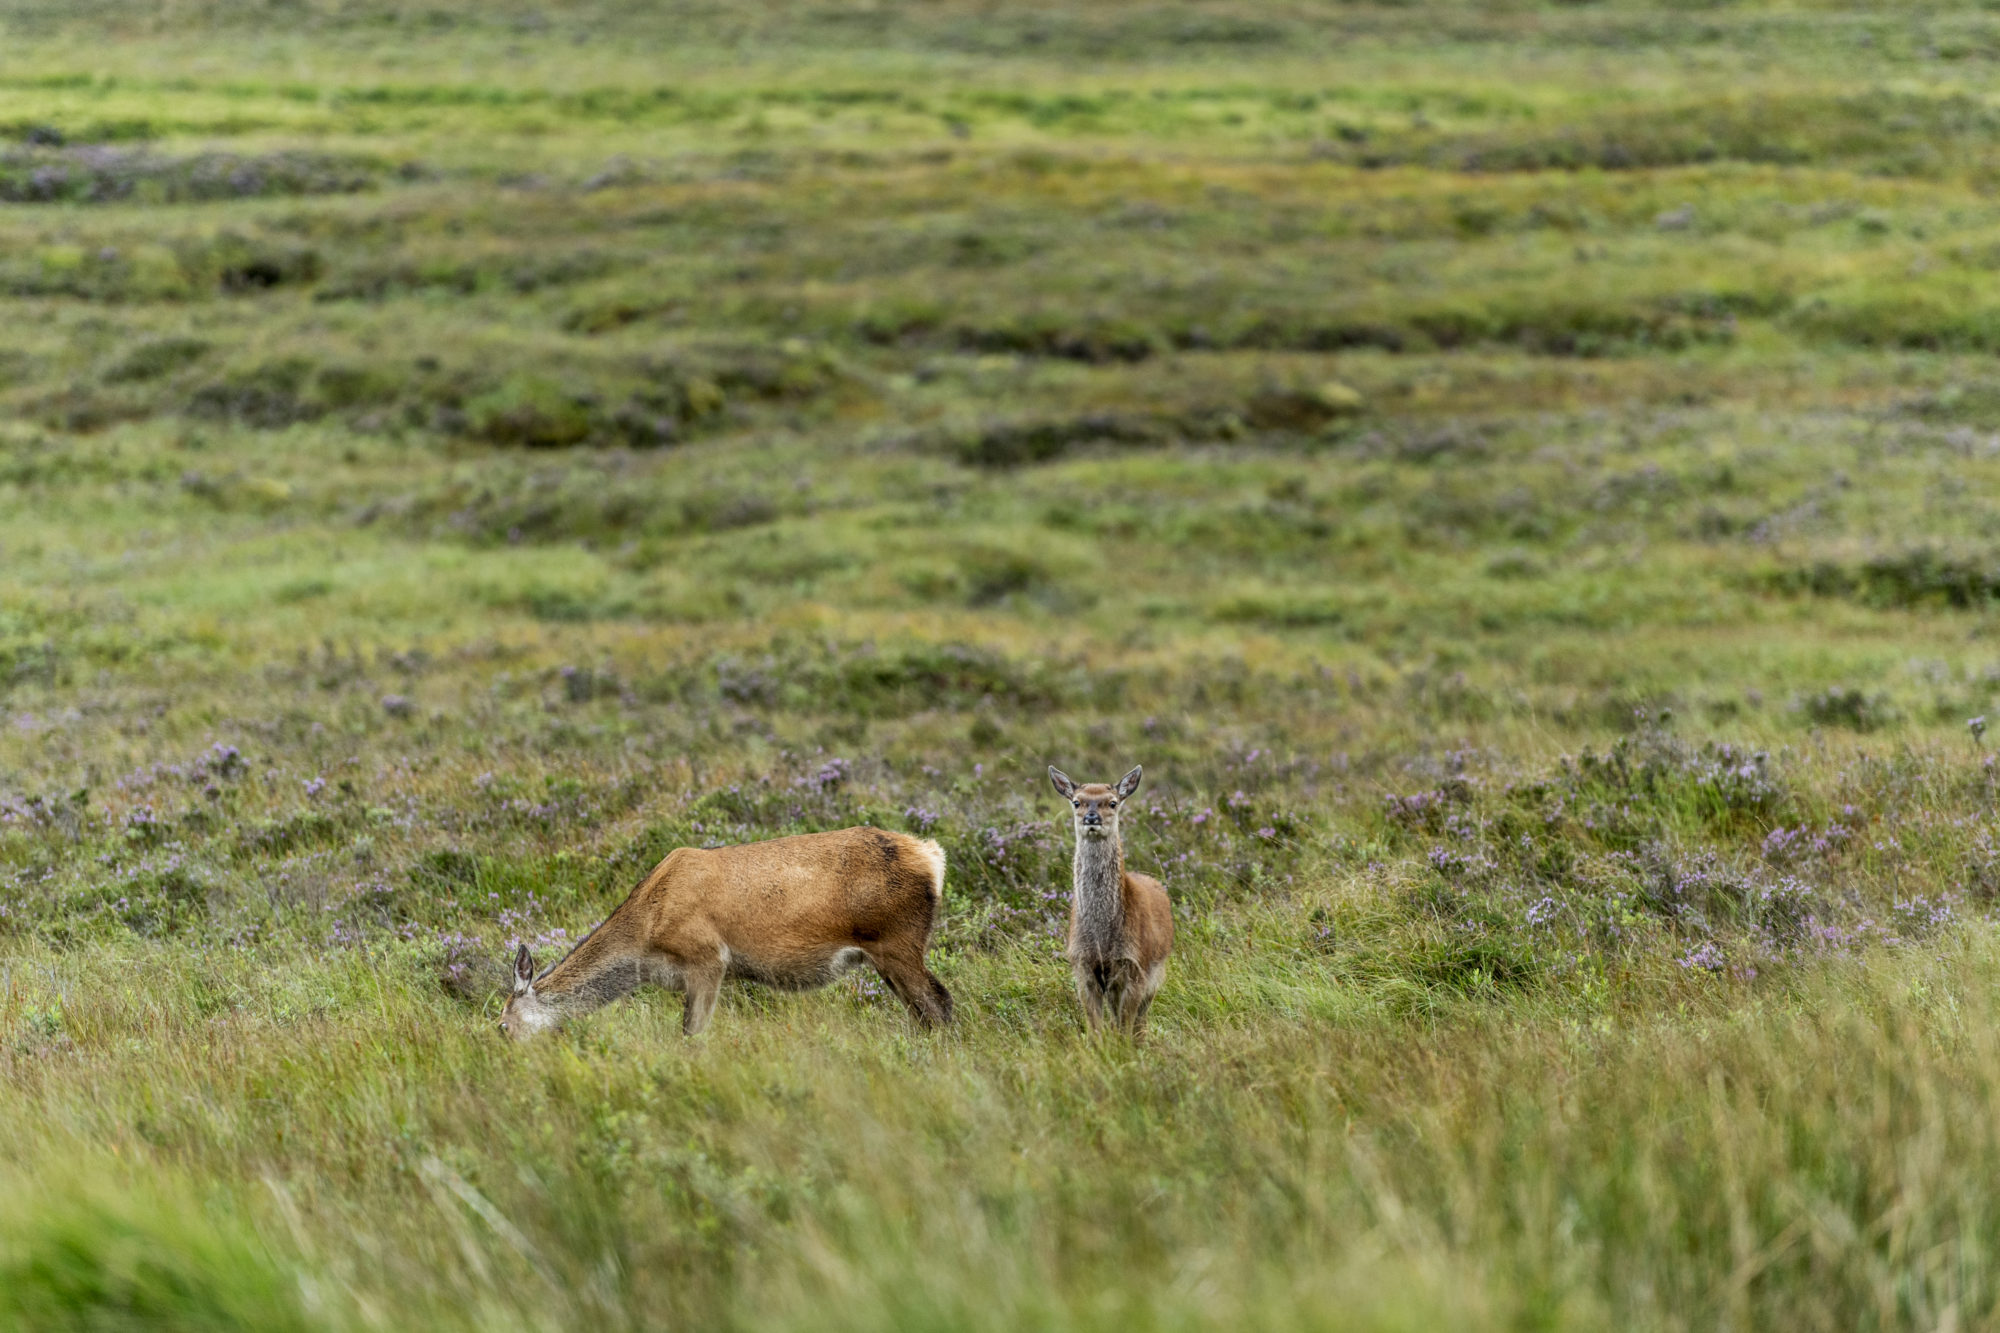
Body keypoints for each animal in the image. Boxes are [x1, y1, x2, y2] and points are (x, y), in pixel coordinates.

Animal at [498, 820, 952, 1040]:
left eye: (501, 1026)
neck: (645, 940)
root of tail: (932, 855)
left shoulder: (707, 958)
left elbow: (691, 1033)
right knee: (922, 1011)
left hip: (897, 939)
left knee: (938, 1002)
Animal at [1048, 764, 1168, 1032]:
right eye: (1077, 802)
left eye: (1112, 803)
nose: (1091, 818)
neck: (1102, 939)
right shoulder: (1082, 966)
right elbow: (1096, 1029)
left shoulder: (1135, 967)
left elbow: (1125, 1029)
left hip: (1155, 976)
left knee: (1140, 1024)